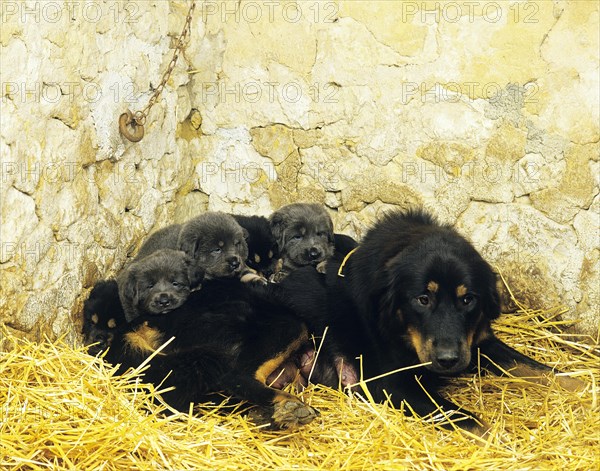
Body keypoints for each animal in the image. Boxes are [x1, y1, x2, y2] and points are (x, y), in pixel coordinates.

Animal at [278, 210, 584, 436]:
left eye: (467, 299)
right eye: (422, 299)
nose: (448, 360)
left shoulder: (479, 342)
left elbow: (543, 370)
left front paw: (582, 385)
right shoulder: (391, 384)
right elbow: (469, 419)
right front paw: (503, 440)